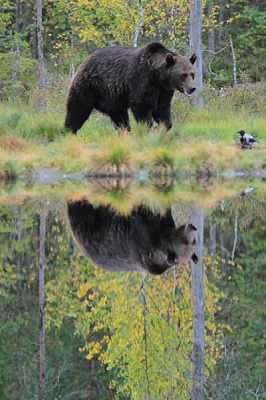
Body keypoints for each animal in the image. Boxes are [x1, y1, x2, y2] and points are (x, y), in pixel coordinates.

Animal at [64, 41, 196, 134]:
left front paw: (160, 127)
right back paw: (68, 131)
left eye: (192, 73)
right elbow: (141, 105)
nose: (192, 88)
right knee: (77, 110)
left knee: (120, 119)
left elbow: (162, 110)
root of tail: (85, 61)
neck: (157, 76)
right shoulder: (141, 80)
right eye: (183, 75)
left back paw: (125, 133)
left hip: (113, 98)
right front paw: (149, 128)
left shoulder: (163, 91)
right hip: (89, 86)